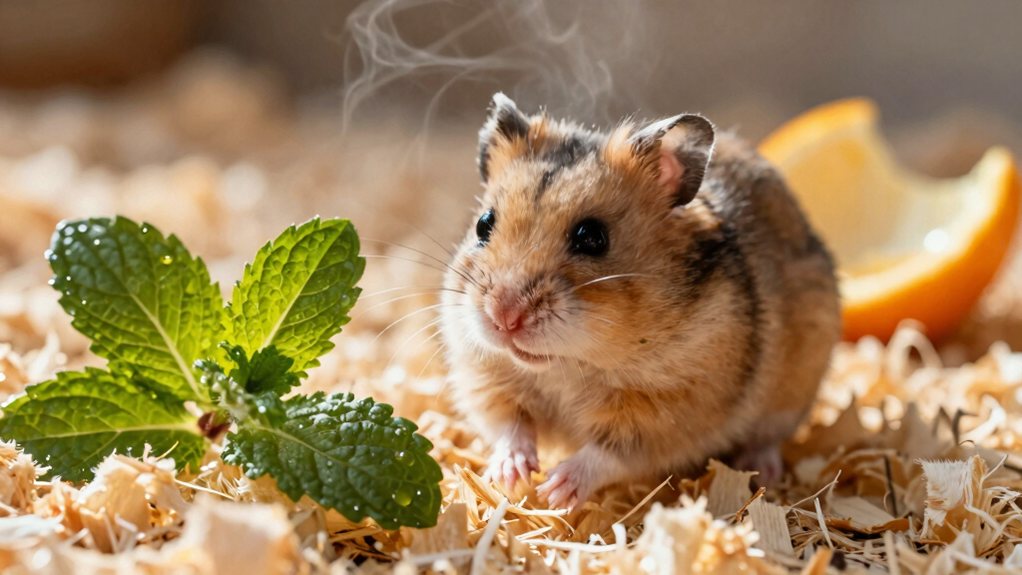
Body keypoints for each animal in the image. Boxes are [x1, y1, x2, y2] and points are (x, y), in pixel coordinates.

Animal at [440, 93, 841, 509]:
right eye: (484, 224)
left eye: (592, 237)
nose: (504, 317)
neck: (567, 366)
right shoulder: (485, 377)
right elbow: (509, 426)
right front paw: (511, 475)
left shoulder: (670, 411)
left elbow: (609, 453)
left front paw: (555, 491)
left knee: (769, 439)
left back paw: (763, 469)